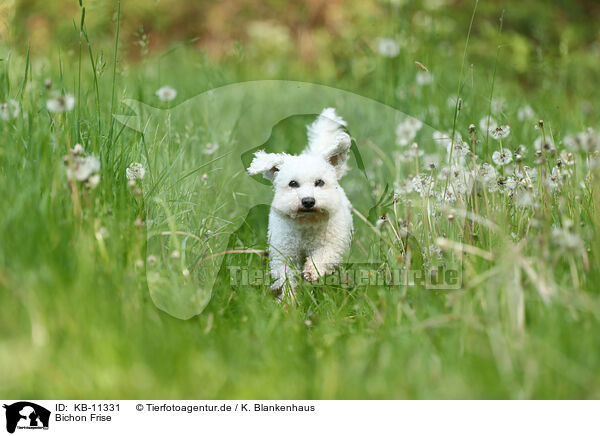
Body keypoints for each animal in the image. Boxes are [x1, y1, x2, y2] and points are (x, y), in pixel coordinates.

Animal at [247, 107, 354, 302]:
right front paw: (288, 301)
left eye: (319, 182)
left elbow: (324, 255)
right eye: (293, 183)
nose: (308, 201)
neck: (306, 224)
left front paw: (312, 271)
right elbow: (286, 277)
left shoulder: (333, 243)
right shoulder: (284, 252)